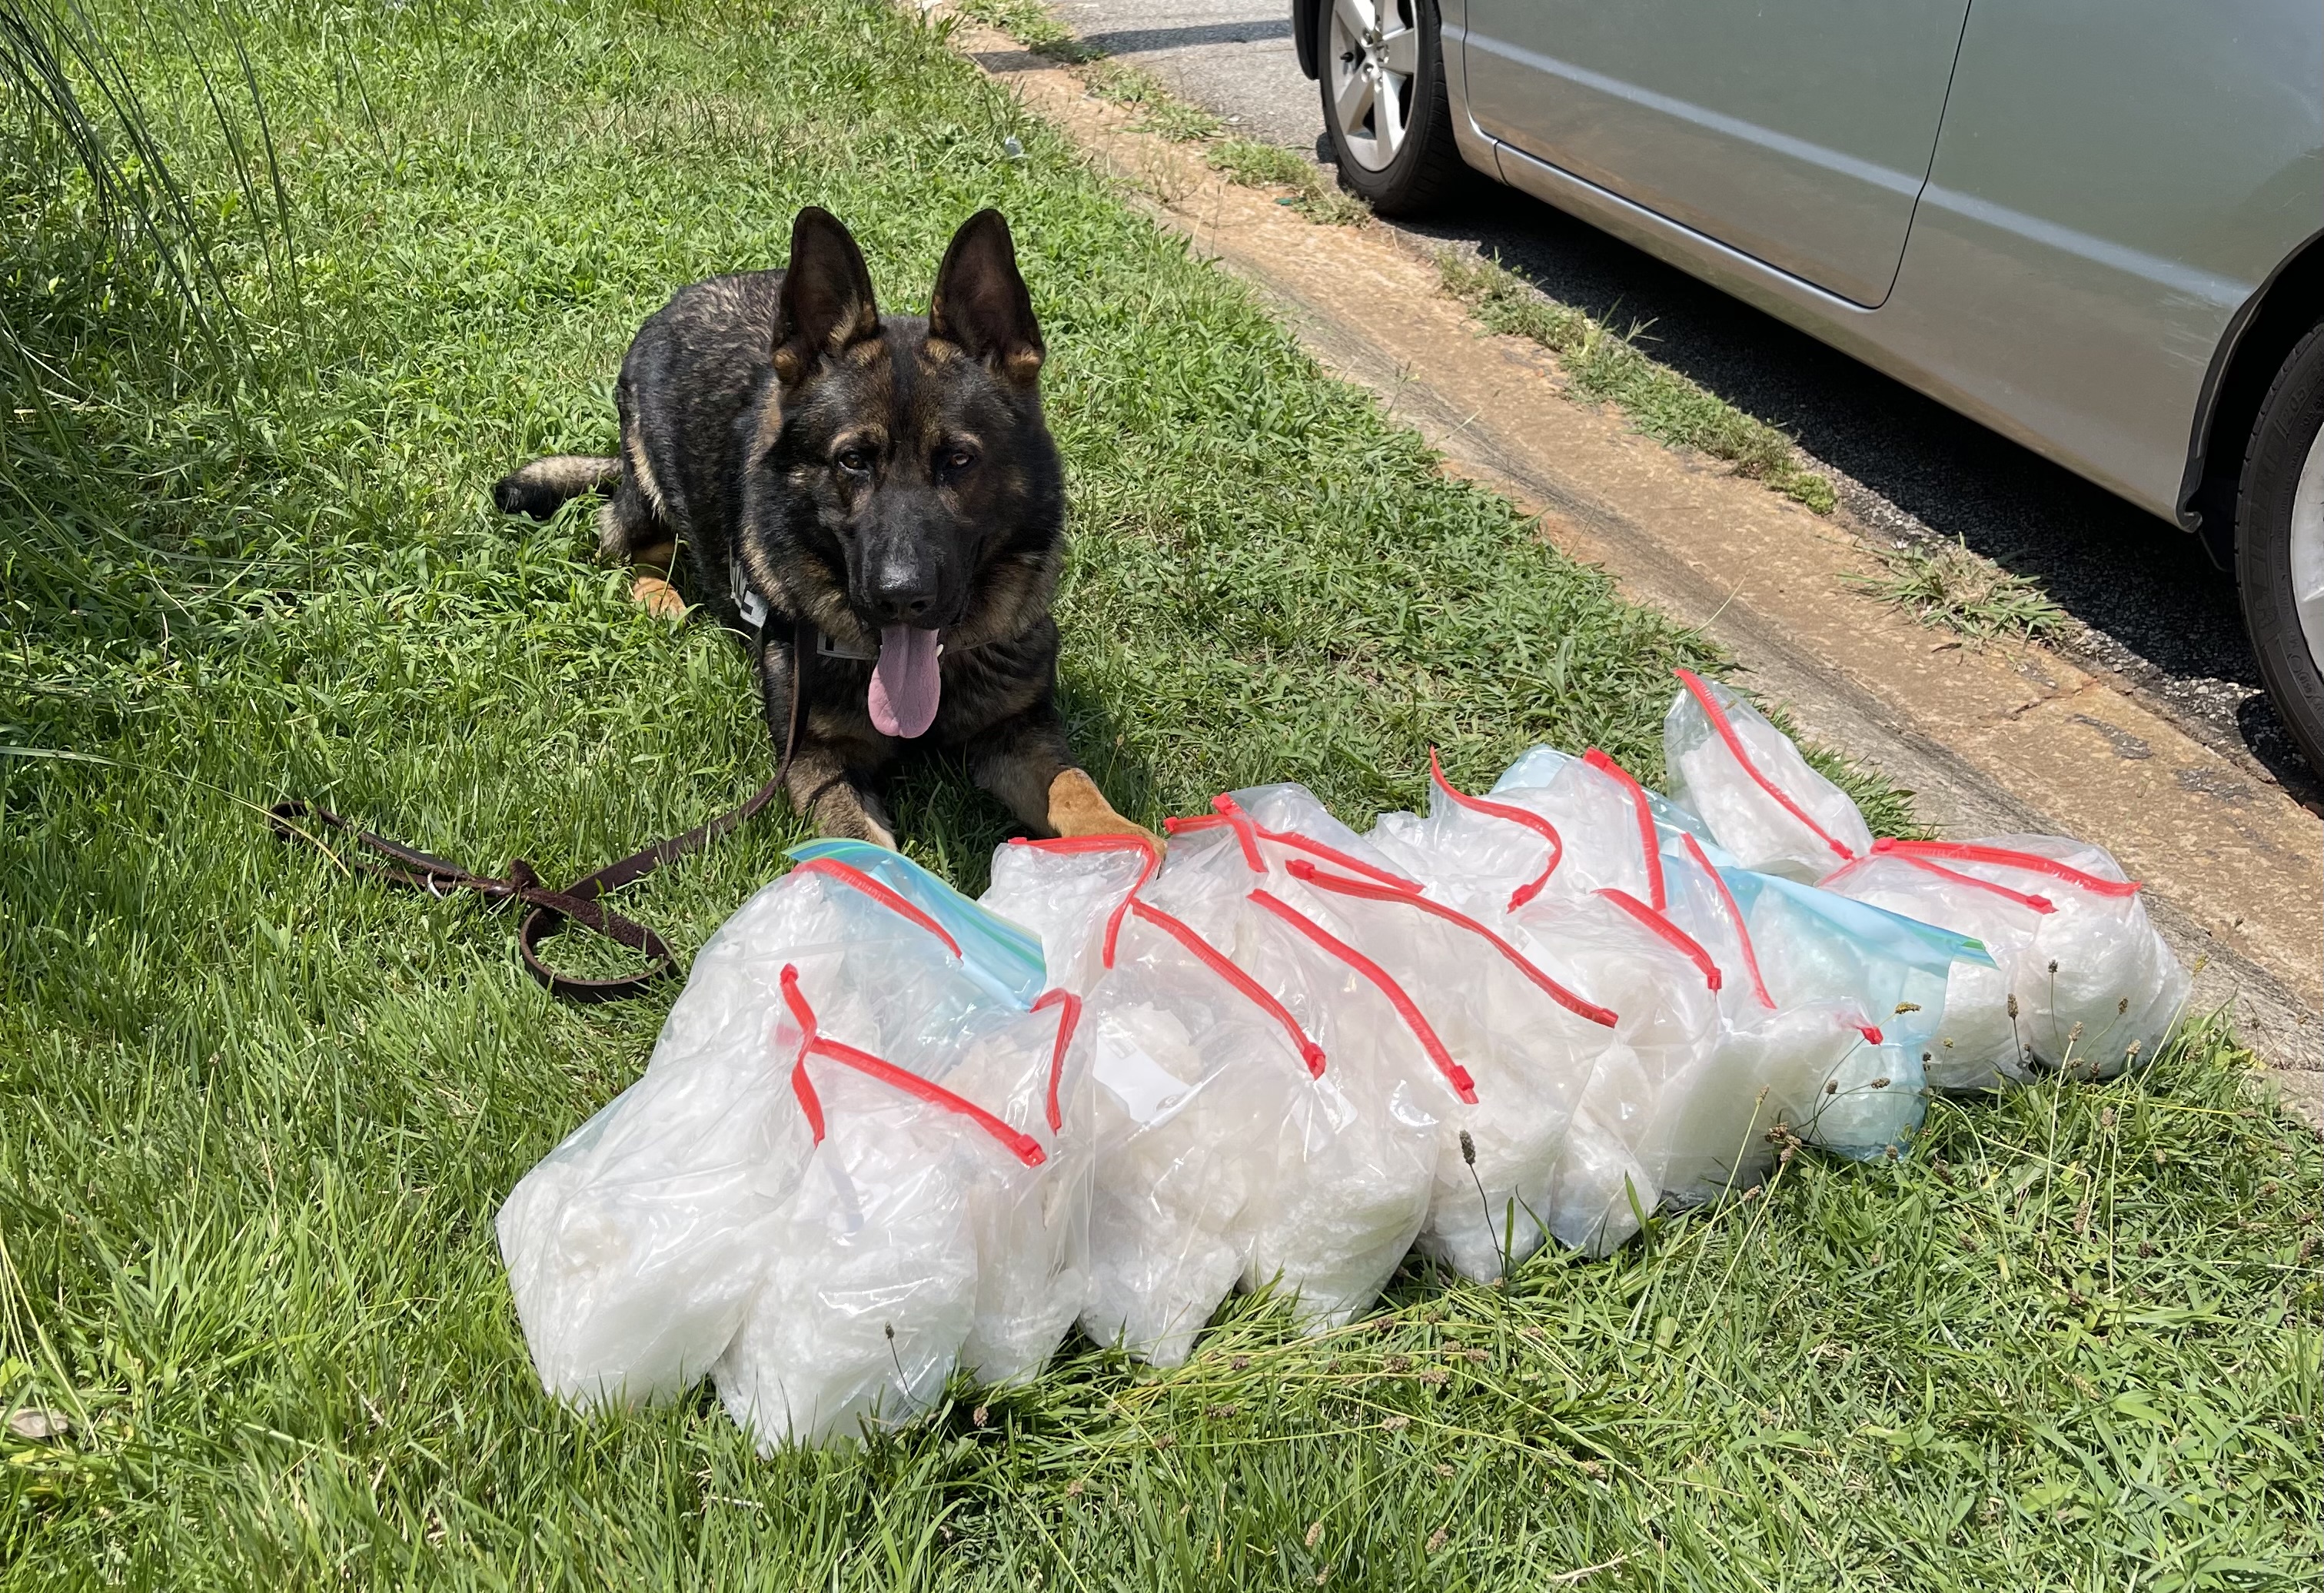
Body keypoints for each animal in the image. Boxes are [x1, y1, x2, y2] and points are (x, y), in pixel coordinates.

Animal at [494, 207, 1148, 851]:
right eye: (853, 460)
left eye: (958, 461)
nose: (900, 598)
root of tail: (680, 302)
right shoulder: (817, 762)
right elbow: (869, 851)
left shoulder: (1019, 732)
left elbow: (1078, 790)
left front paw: (1135, 846)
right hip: (650, 493)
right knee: (621, 544)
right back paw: (659, 596)